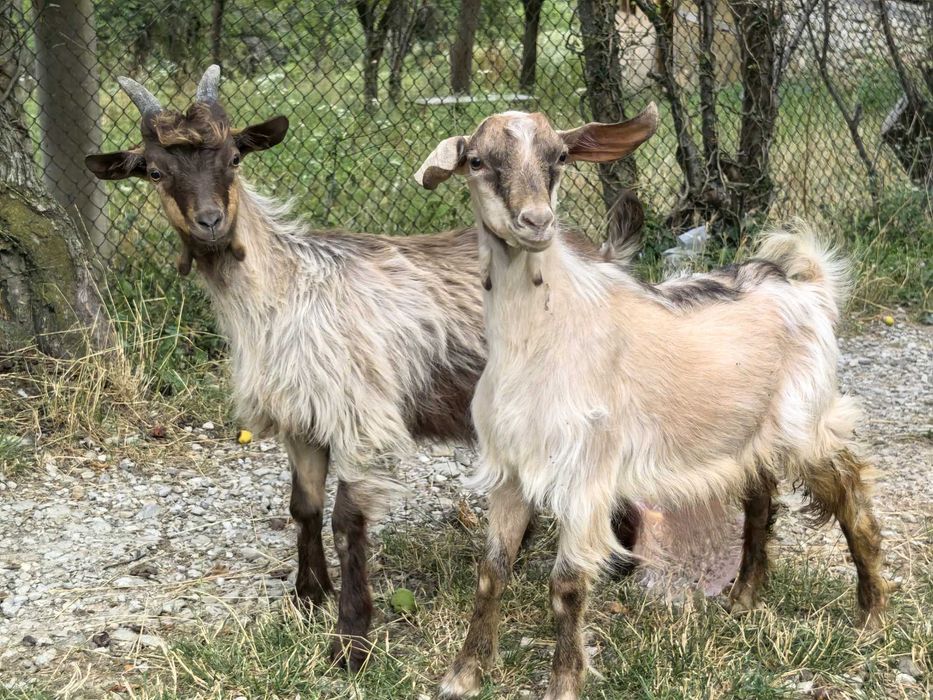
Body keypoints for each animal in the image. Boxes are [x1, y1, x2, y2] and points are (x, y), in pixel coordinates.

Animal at [85, 66, 644, 671]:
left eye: (234, 157)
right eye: (154, 171)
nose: (211, 222)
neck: (284, 291)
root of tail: (606, 257)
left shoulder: (360, 416)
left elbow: (346, 522)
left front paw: (351, 638)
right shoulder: (301, 418)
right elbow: (303, 507)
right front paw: (308, 594)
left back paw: (626, 562)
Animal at [416, 105, 891, 699]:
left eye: (559, 157)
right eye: (478, 161)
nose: (536, 221)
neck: (541, 335)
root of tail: (808, 287)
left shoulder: (586, 473)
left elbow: (566, 584)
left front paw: (564, 682)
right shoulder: (510, 469)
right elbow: (491, 572)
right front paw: (463, 674)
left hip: (806, 421)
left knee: (851, 495)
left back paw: (871, 616)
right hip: (745, 431)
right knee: (761, 502)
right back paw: (743, 600)